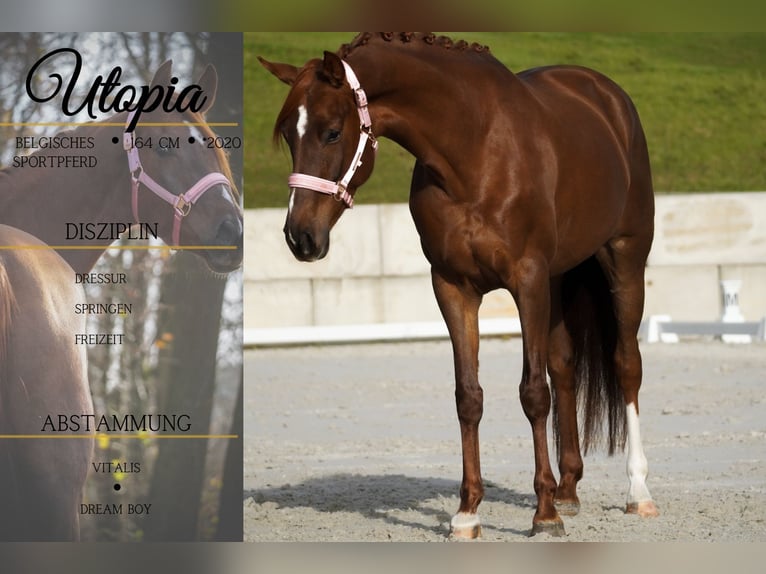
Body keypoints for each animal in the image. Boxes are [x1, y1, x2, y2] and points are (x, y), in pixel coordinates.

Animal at [260, 32, 658, 538]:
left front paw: (543, 514)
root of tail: (607, 97)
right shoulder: (453, 287)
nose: (300, 237)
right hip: (558, 278)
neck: (475, 153)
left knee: (626, 365)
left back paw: (636, 492)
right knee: (564, 366)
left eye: (331, 131)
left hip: (623, 259)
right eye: (290, 135)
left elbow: (533, 393)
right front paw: (468, 513)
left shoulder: (527, 279)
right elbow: (468, 396)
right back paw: (568, 490)